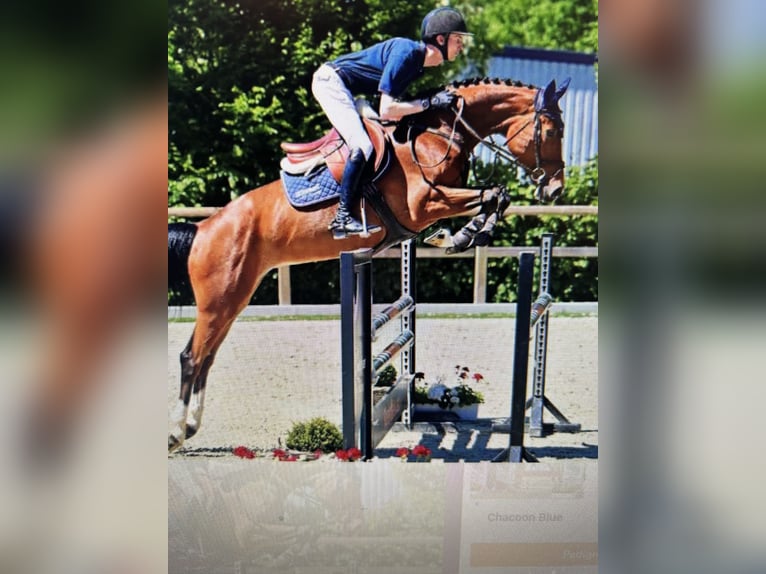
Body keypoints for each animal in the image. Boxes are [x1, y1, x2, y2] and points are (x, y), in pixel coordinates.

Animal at [168, 77, 569, 452]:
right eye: (552, 132)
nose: (556, 190)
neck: (440, 133)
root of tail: (203, 229)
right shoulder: (425, 204)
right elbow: (494, 194)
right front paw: (463, 236)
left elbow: (496, 196)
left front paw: (464, 236)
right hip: (219, 301)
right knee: (191, 357)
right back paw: (175, 434)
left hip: (234, 300)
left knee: (207, 358)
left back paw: (191, 427)